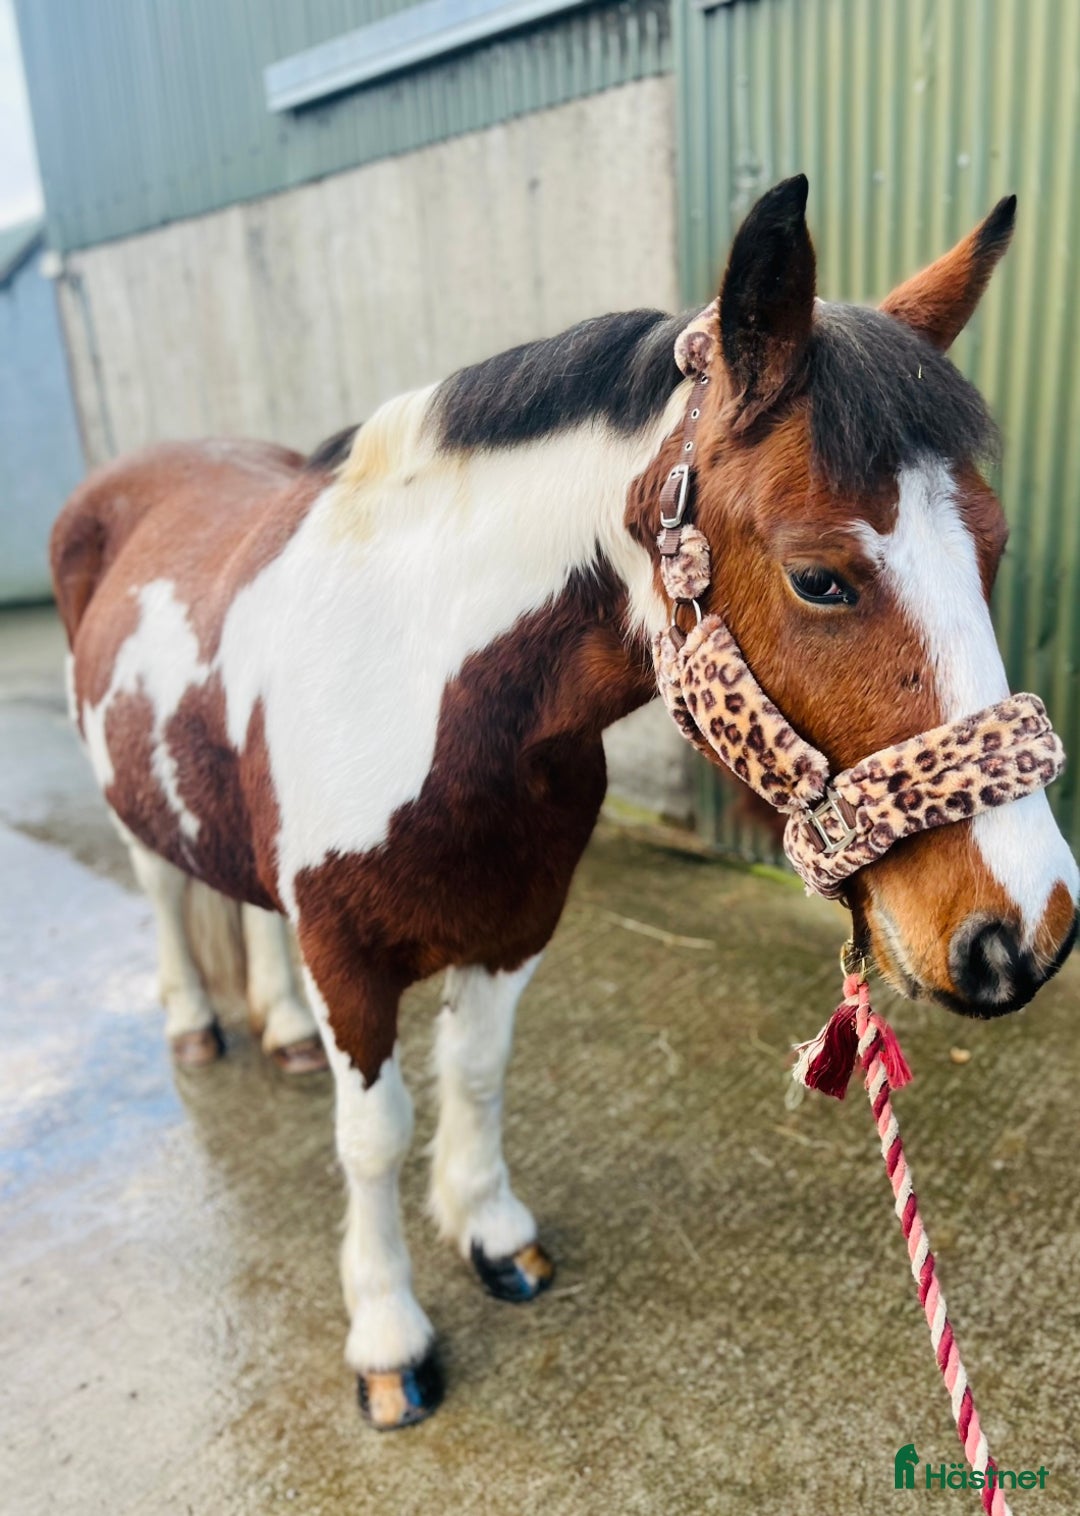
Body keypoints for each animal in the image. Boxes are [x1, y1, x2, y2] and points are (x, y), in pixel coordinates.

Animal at [51, 176, 1078, 1429]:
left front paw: (492, 1235)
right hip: (129, 794)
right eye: (819, 577)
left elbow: (477, 1075)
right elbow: (374, 1135)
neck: (428, 696)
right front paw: (387, 1336)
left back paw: (281, 1034)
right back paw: (197, 1025)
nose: (1026, 933)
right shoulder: (349, 954)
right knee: (163, 887)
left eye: (994, 545)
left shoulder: (514, 920)